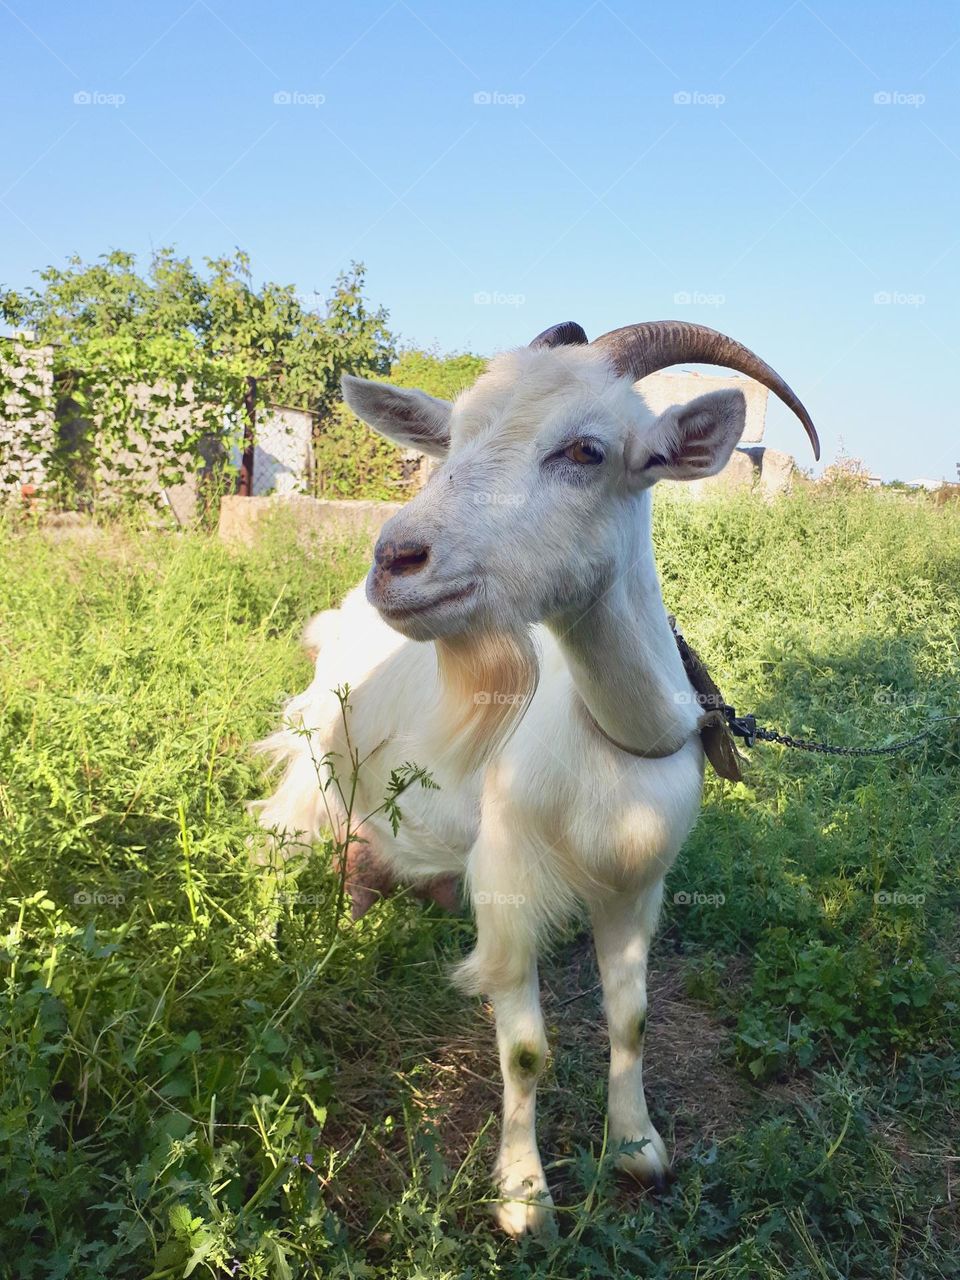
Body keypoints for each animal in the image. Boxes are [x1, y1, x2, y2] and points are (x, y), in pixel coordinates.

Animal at [257, 322, 819, 1239]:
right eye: (449, 442)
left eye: (586, 450)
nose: (397, 560)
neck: (615, 735)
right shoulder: (509, 879)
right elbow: (525, 1050)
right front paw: (523, 1200)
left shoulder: (637, 884)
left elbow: (631, 1018)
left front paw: (638, 1150)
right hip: (313, 764)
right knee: (276, 844)